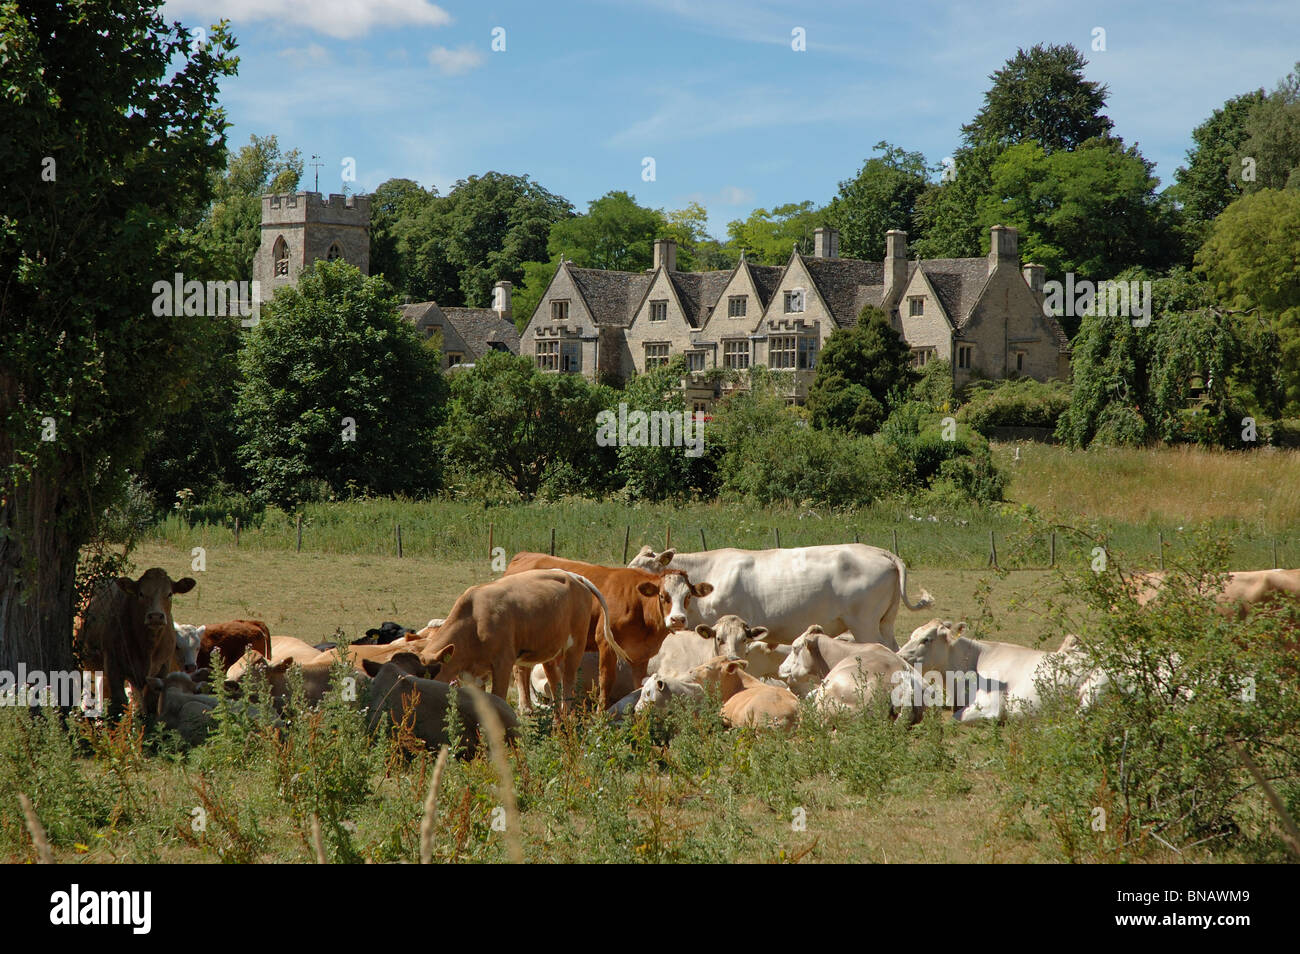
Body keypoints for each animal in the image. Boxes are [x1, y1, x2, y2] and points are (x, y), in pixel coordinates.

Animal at [77, 566, 195, 717]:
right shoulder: (113, 666)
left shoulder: (162, 668)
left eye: (169, 594)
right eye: (141, 593)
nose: (155, 616)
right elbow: (119, 703)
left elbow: (150, 704)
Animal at [501, 553, 717, 712]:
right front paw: (600, 712)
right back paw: (526, 708)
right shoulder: (606, 644)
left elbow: (638, 683)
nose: (678, 619)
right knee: (520, 670)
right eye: (663, 596)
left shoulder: (641, 655)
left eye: (688, 596)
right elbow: (606, 680)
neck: (638, 604)